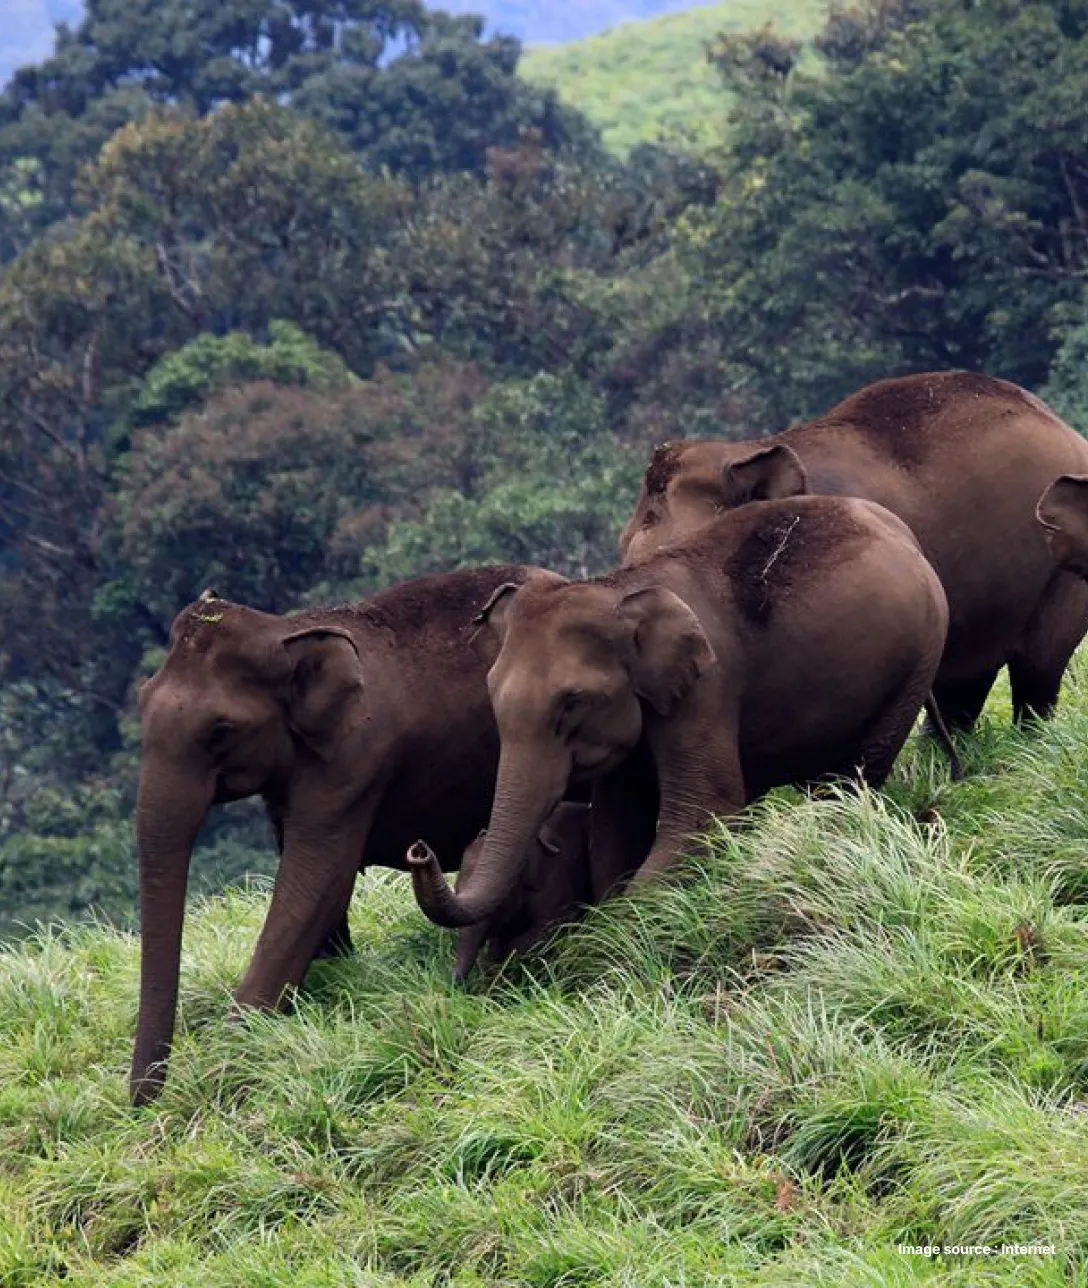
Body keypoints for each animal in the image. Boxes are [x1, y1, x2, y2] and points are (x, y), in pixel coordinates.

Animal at [129, 564, 545, 1106]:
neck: (289, 629)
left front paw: (228, 1067)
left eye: (220, 731)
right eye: (140, 702)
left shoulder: (355, 759)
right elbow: (317, 887)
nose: (141, 1105)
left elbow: (314, 881)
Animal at [407, 490, 950, 928]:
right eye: (492, 695)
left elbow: (702, 810)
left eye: (572, 702)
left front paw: (614, 933)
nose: (420, 848)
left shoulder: (706, 689)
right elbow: (614, 830)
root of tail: (903, 532)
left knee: (858, 771)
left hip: (919, 656)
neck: (616, 588)